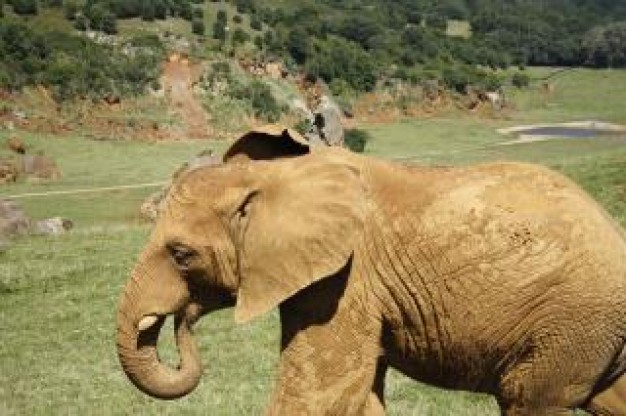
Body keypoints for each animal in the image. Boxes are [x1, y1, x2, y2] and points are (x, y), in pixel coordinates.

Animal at [117, 127, 624, 416]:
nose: (185, 317)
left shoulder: (345, 279)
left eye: (181, 254)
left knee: (529, 398)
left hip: (572, 322)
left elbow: (315, 392)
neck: (274, 177)